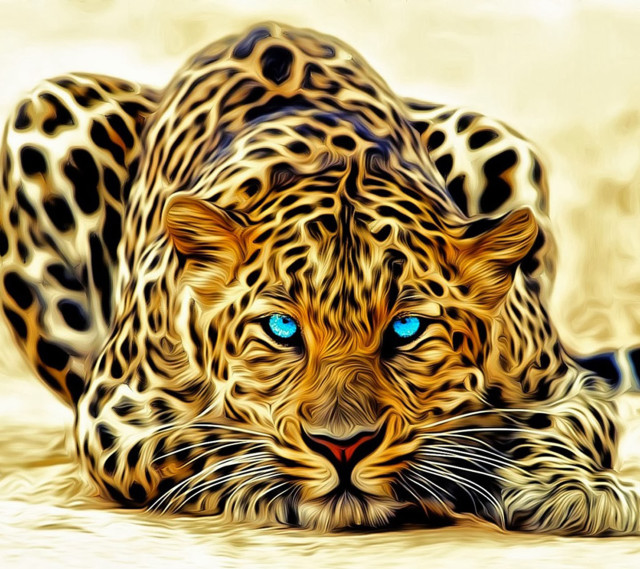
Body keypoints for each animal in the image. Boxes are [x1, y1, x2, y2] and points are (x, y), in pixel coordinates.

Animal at [1, 21, 639, 534]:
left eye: (406, 329)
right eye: (282, 329)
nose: (343, 446)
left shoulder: (567, 386)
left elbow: (557, 426)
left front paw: (575, 489)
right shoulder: (116, 409)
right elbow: (198, 443)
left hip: (496, 138)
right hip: (43, 112)